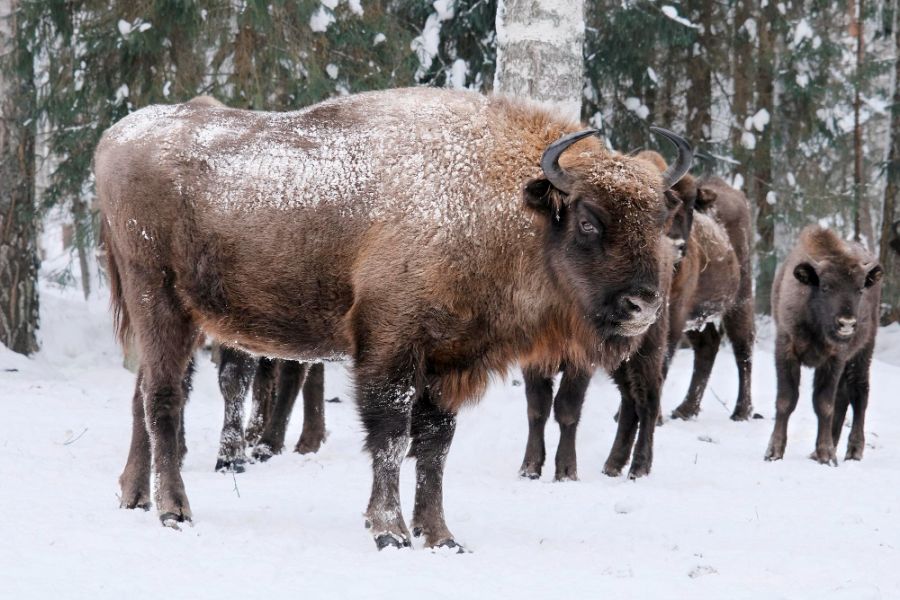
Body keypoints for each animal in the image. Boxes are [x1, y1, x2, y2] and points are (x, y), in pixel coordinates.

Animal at [96, 86, 688, 552]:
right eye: (588, 221)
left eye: (660, 219)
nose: (643, 305)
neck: (495, 199)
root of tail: (116, 137)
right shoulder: (392, 348)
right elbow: (391, 436)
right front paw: (390, 531)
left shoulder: (448, 362)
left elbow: (434, 446)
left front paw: (441, 535)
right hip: (159, 301)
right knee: (164, 399)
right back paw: (174, 510)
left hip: (177, 318)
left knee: (145, 394)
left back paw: (133, 495)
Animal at [764, 225, 884, 464]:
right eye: (826, 287)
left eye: (859, 289)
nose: (847, 323)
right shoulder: (786, 349)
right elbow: (786, 400)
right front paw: (773, 452)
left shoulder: (835, 357)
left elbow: (824, 404)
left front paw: (827, 455)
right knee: (844, 397)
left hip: (863, 351)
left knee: (859, 393)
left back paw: (854, 451)